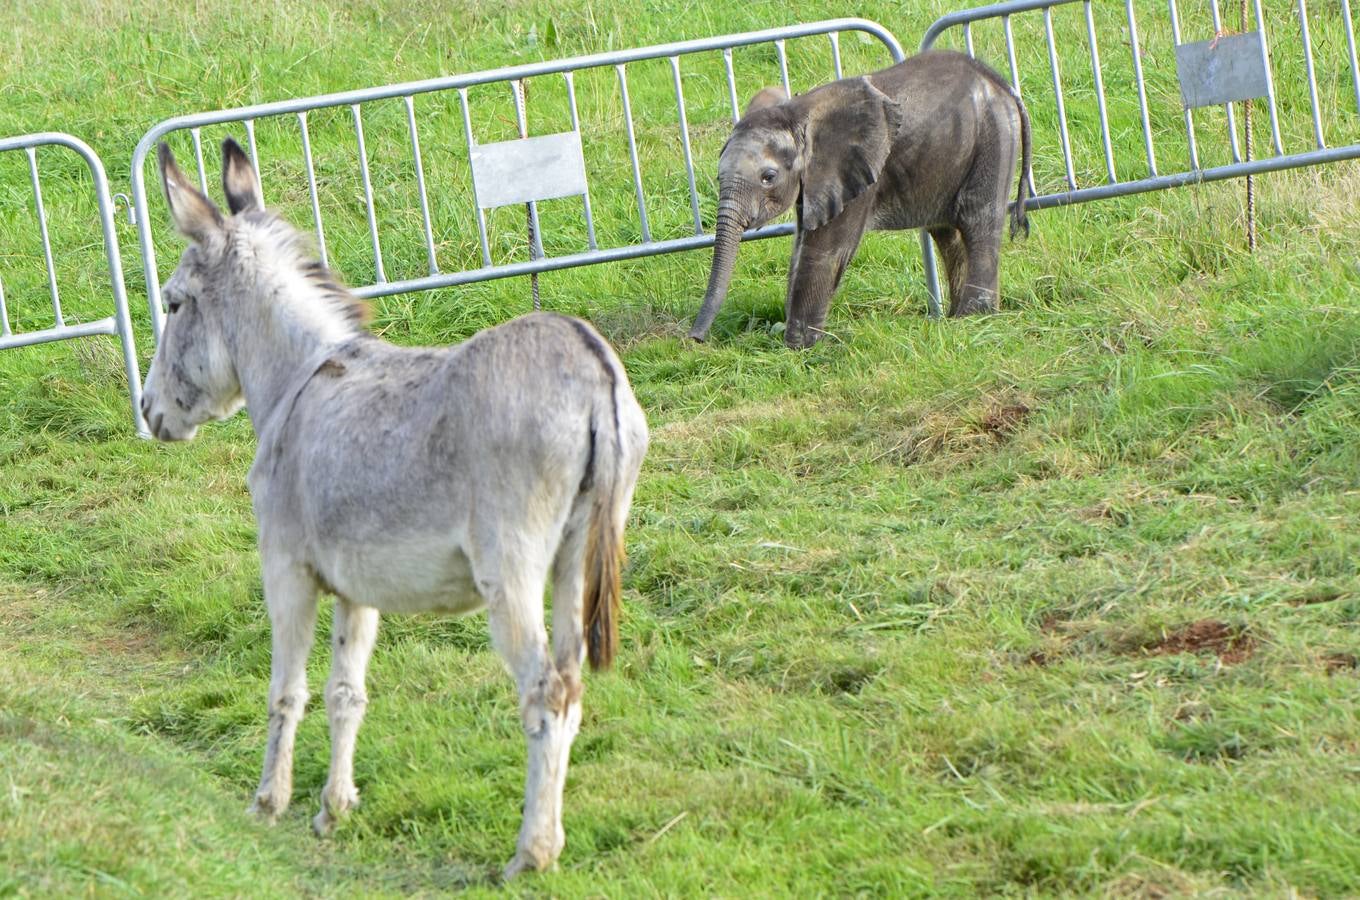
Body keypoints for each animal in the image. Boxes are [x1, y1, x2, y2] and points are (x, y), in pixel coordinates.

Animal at [690, 50, 1028, 348]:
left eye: (768, 177)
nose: (695, 339)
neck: (797, 112)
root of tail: (1000, 82)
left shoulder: (856, 172)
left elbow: (824, 250)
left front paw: (800, 349)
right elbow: (801, 245)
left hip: (995, 136)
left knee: (977, 219)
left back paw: (974, 319)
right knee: (947, 233)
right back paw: (956, 318)